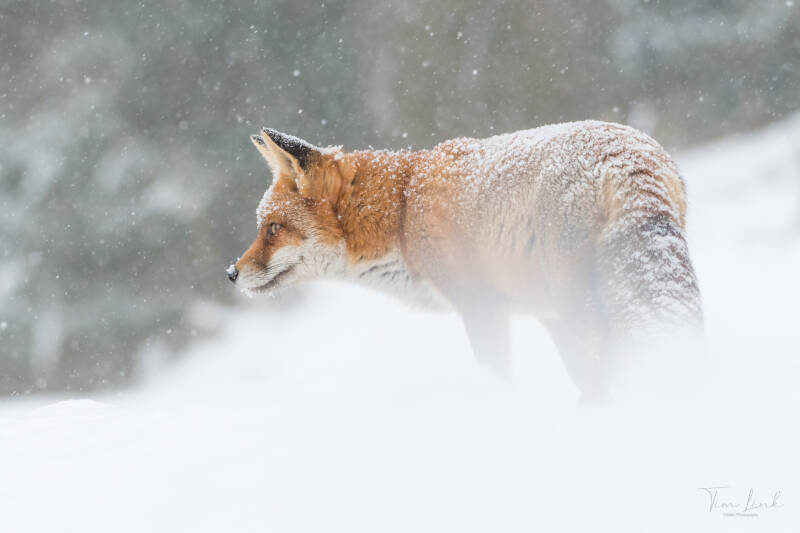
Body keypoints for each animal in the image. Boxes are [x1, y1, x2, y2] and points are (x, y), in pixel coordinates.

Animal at [227, 121, 702, 401]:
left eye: (272, 229)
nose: (231, 273)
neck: (403, 211)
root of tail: (628, 159)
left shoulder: (482, 308)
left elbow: (501, 378)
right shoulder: (543, 312)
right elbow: (579, 373)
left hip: (581, 304)